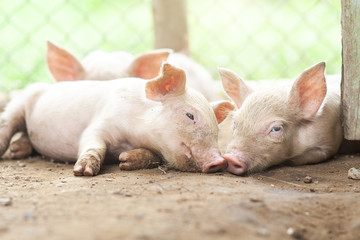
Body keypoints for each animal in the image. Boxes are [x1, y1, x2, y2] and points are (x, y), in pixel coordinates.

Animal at [0, 62, 225, 175]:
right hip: (19, 104)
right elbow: (93, 143)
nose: (220, 161)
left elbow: (152, 157)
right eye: (190, 115)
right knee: (9, 124)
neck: (134, 135)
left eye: (217, 129)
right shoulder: (102, 121)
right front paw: (83, 171)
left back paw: (18, 150)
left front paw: (124, 161)